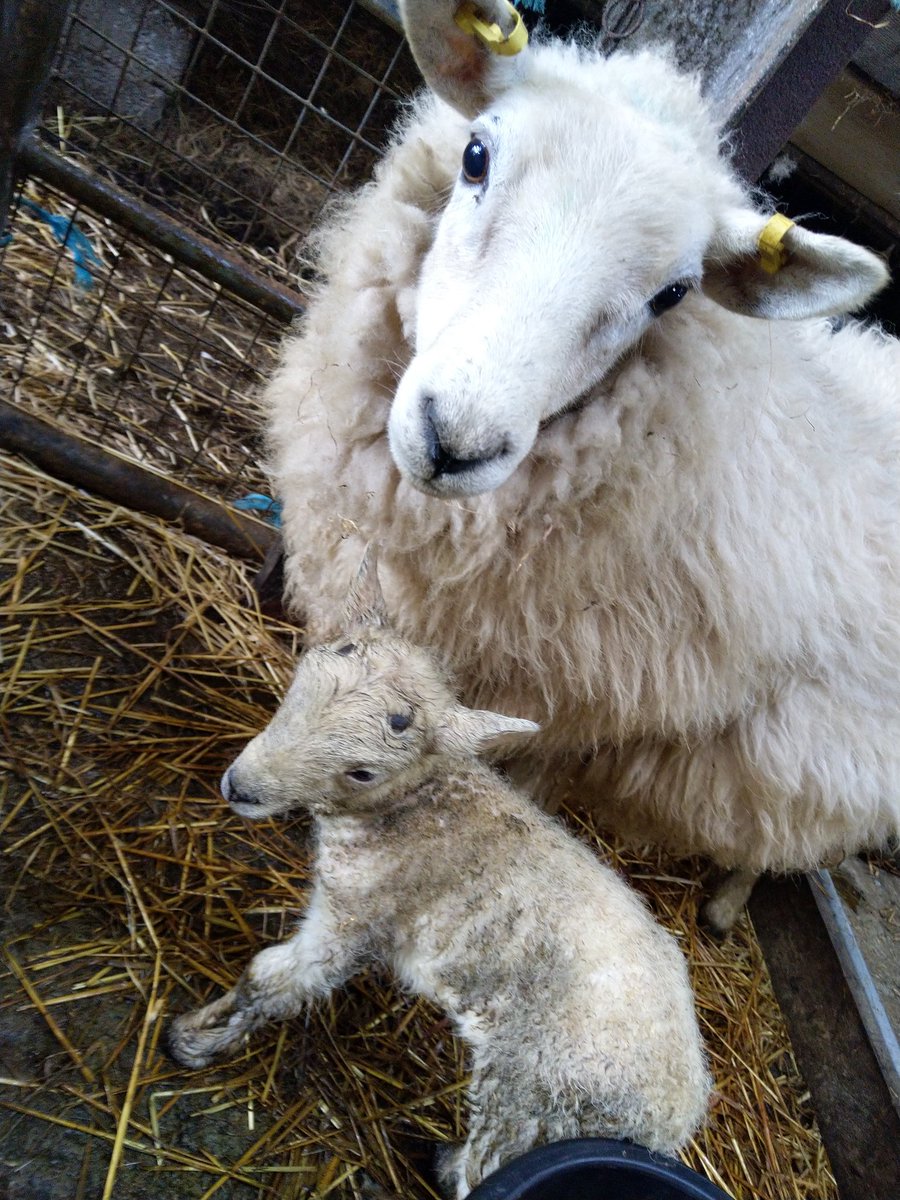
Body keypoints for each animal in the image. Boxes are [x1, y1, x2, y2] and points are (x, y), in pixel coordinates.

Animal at [165, 550, 712, 1193]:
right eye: (302, 678)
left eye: (363, 771)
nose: (241, 787)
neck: (421, 803)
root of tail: (674, 1121)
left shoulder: (356, 918)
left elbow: (273, 980)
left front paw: (196, 1039)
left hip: (529, 1101)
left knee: (485, 1170)